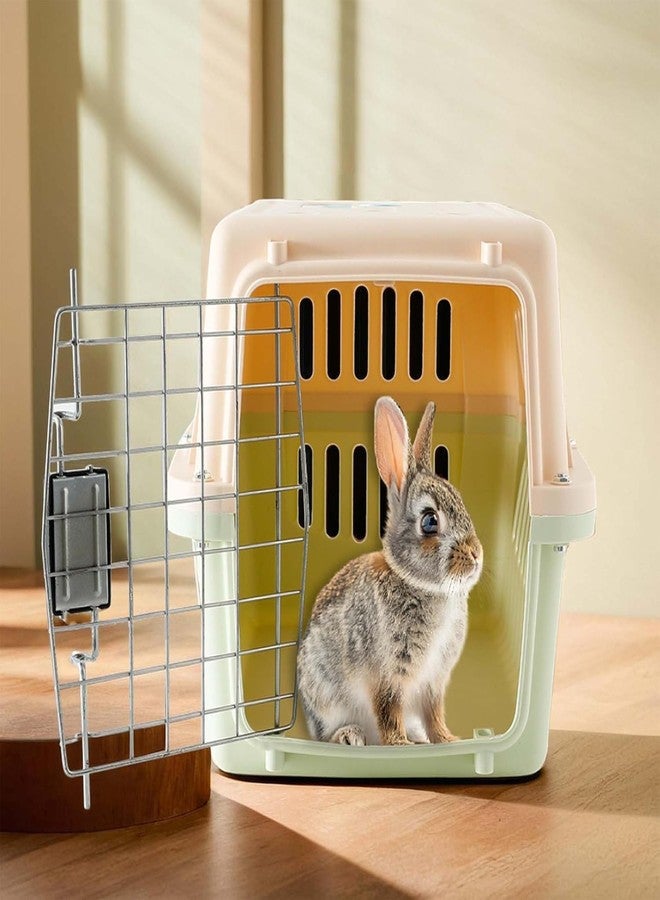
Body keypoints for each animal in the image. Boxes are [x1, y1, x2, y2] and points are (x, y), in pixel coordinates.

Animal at [296, 396, 483, 746]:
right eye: (430, 521)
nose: (476, 556)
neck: (418, 584)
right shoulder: (387, 675)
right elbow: (387, 709)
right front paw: (399, 743)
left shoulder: (433, 681)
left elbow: (434, 713)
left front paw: (446, 740)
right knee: (329, 734)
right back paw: (349, 736)